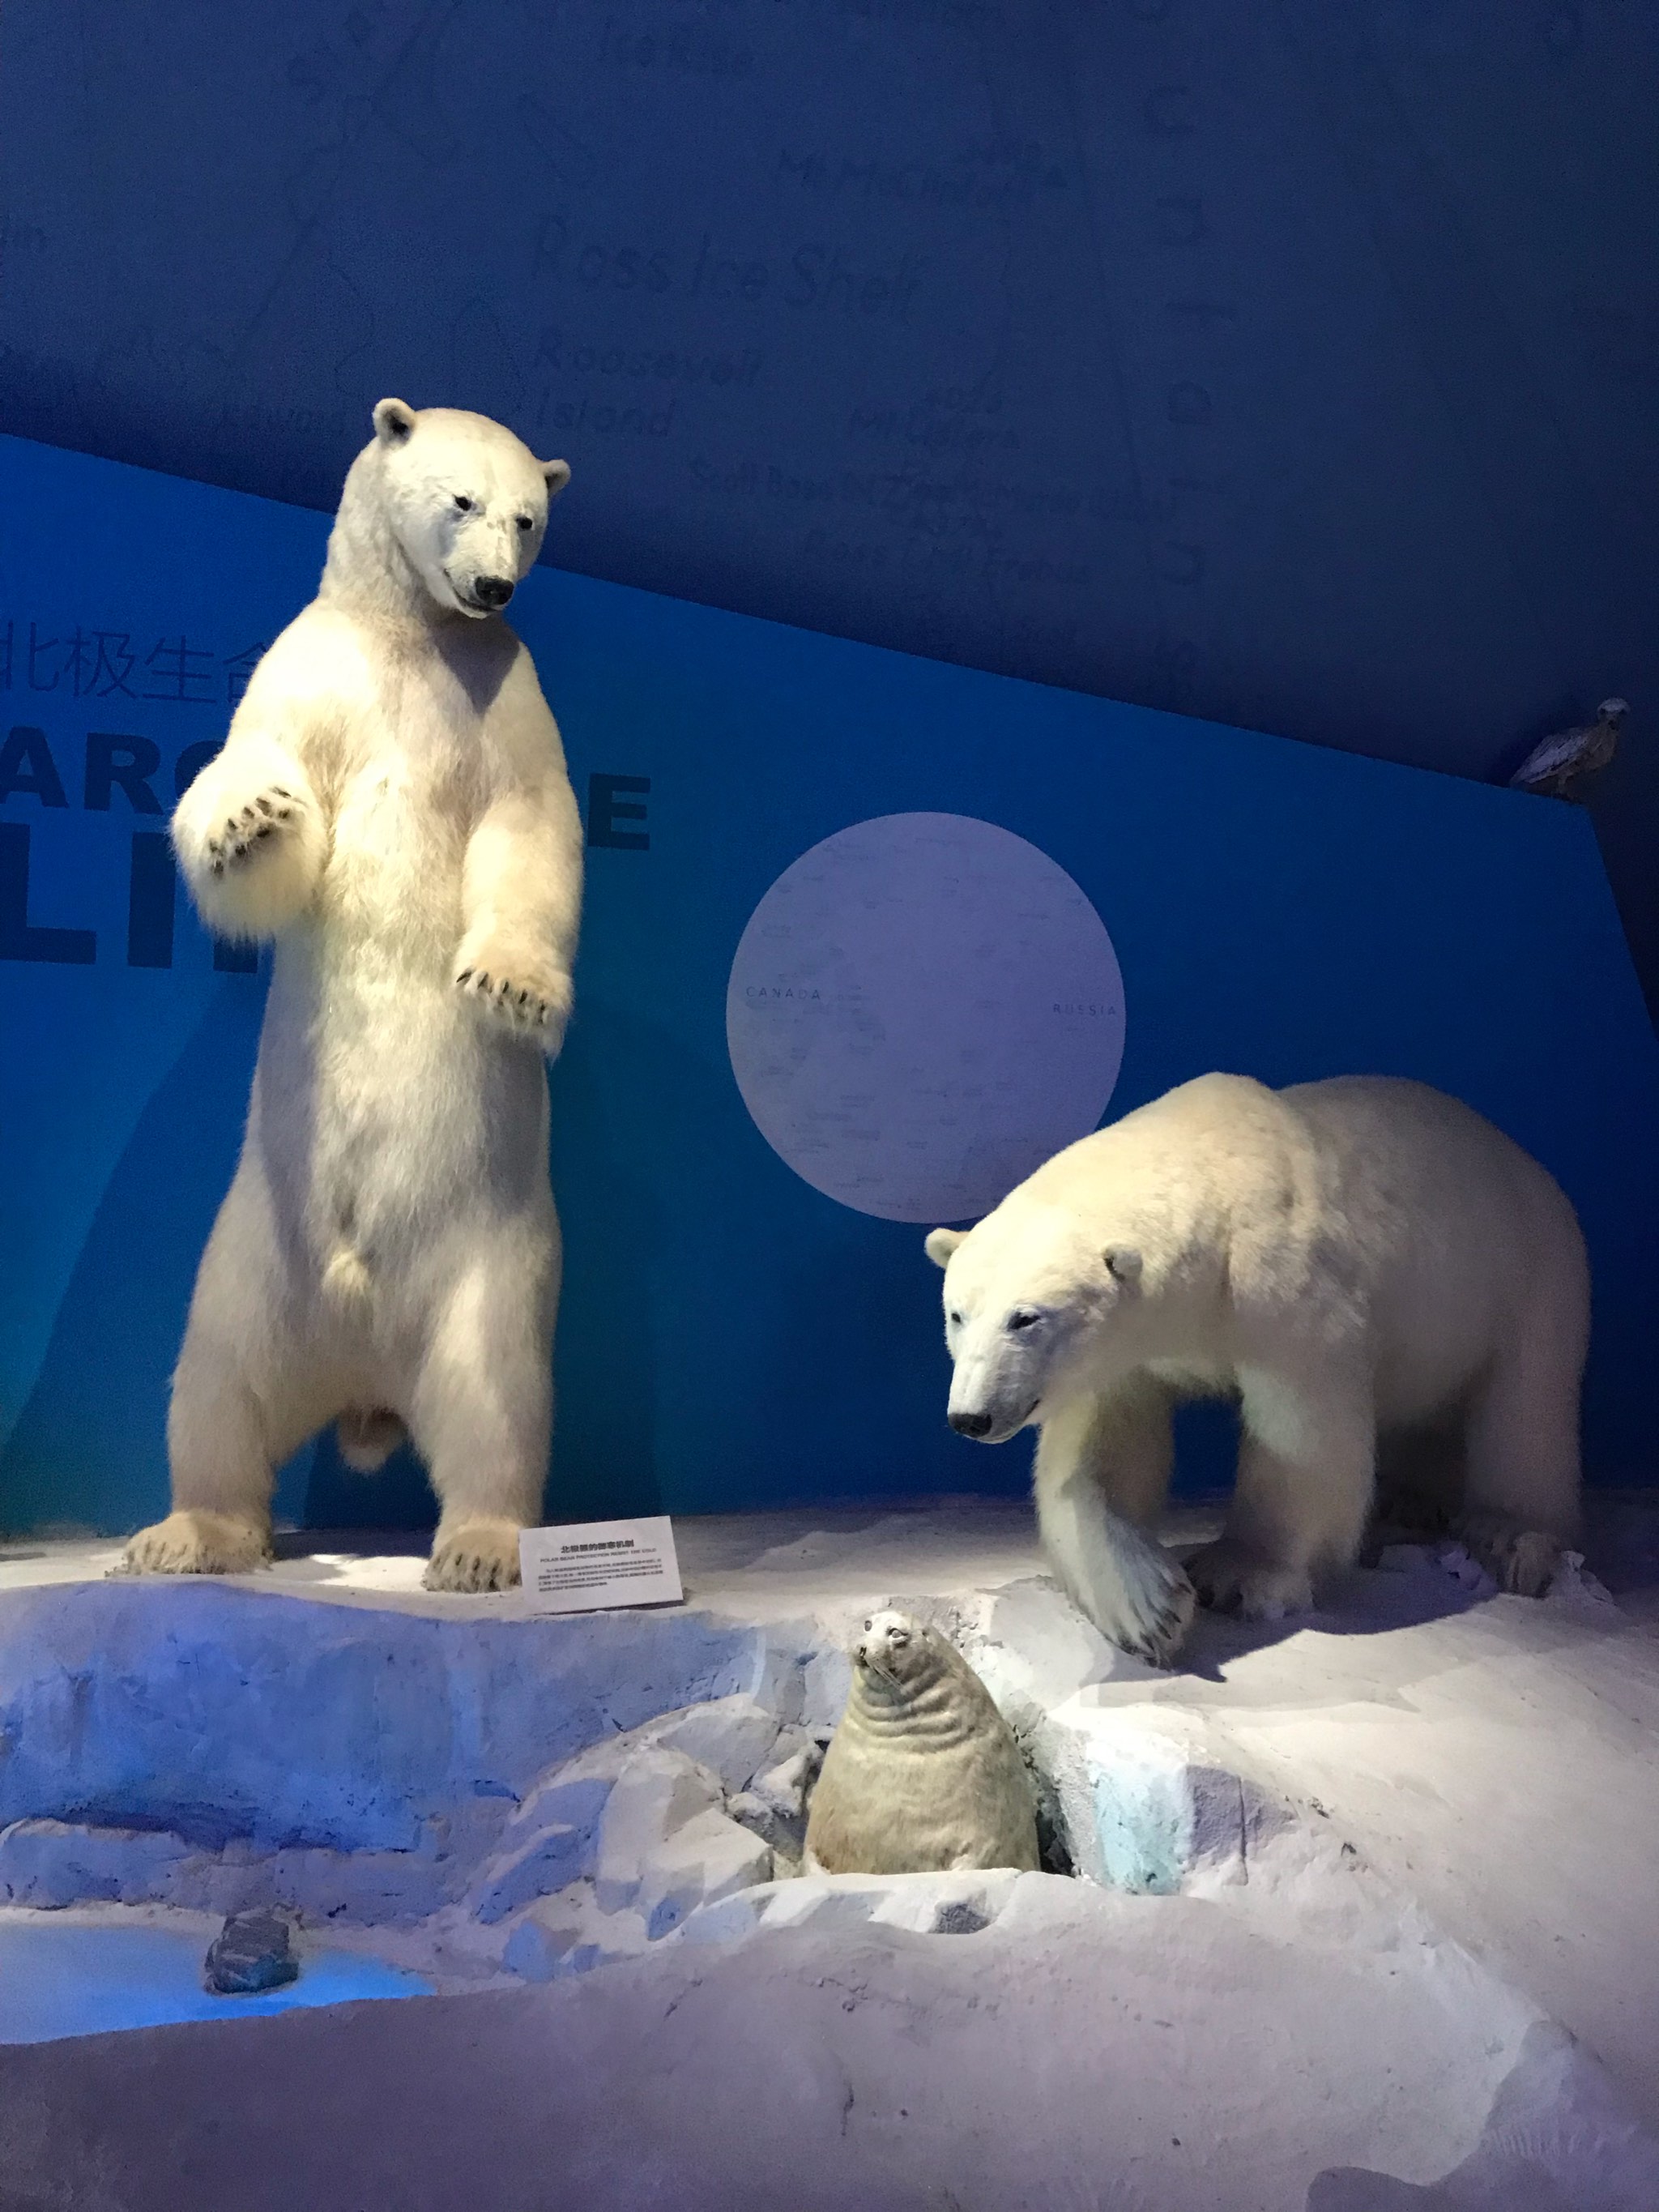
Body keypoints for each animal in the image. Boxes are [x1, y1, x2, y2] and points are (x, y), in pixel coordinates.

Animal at [123, 389, 579, 1583]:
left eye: (528, 518)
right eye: (460, 500)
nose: (492, 587)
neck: (414, 634)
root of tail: (364, 1375)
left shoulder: (505, 697)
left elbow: (527, 828)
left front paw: (509, 990)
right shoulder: (311, 668)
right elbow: (259, 780)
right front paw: (249, 815)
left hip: (490, 1264)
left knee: (496, 1400)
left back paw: (480, 1549)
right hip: (251, 1260)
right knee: (215, 1392)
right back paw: (188, 1533)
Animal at [928, 1070, 1593, 1663]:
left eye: (1026, 1318)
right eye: (958, 1314)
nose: (970, 1417)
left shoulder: (1285, 1287)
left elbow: (1304, 1439)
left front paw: (1237, 1575)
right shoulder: (1124, 1350)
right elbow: (1097, 1459)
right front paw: (1150, 1608)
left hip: (1528, 1273)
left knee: (1524, 1409)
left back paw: (1507, 1534)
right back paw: (1410, 1500)